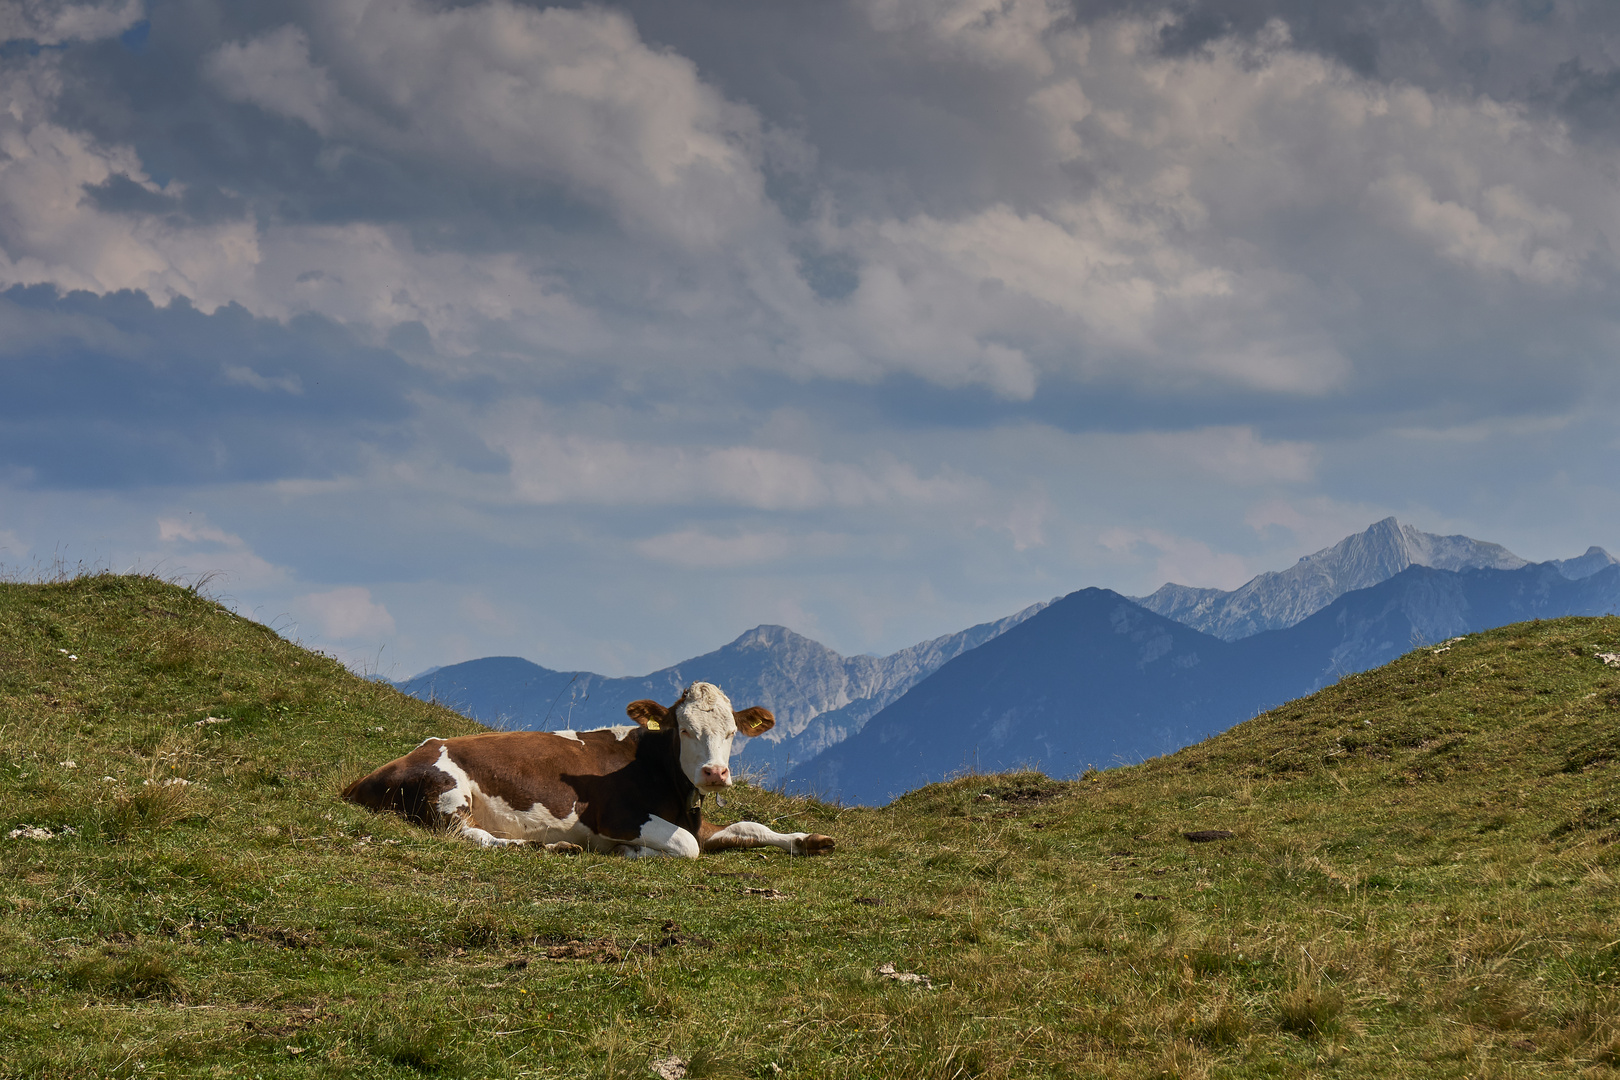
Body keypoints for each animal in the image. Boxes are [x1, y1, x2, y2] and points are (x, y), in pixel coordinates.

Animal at [333, 683, 829, 861]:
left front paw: (809, 840)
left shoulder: (697, 819)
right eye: (685, 729)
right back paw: (544, 845)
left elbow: (750, 827)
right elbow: (686, 848)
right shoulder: (616, 816)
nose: (715, 773)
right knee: (472, 836)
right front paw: (632, 852)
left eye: (731, 732)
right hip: (446, 793)